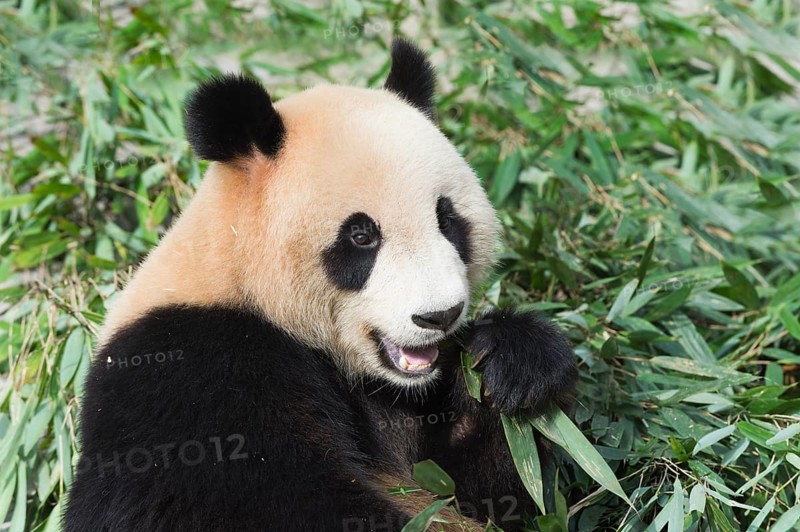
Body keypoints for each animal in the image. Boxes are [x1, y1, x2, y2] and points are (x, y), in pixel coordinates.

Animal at [64, 40, 577, 531]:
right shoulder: (185, 374)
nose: (440, 315)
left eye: (447, 219)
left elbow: (490, 490)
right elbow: (262, 502)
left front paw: (511, 361)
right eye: (361, 236)